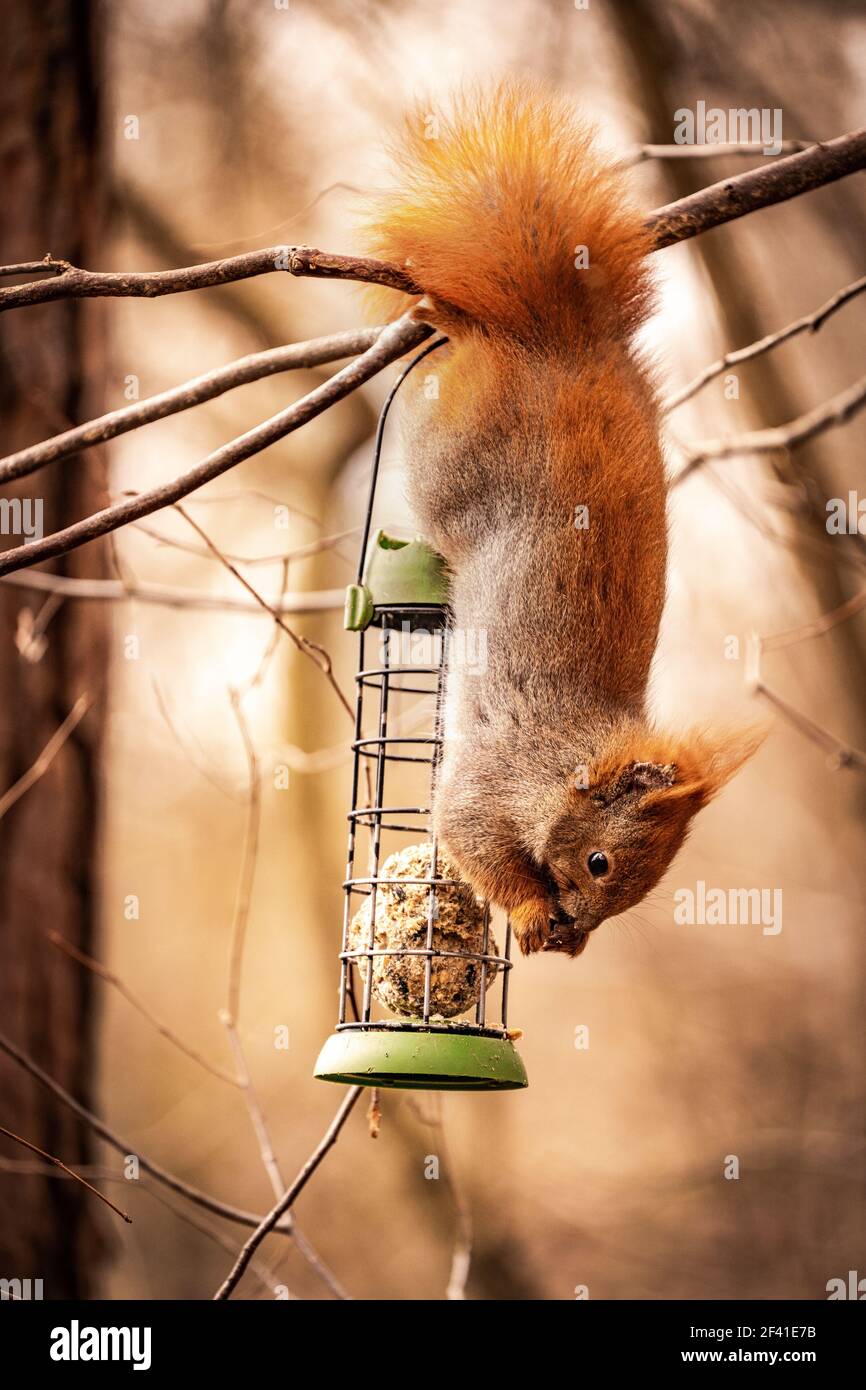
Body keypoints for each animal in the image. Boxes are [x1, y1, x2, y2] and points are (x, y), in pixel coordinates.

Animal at [364, 82, 765, 959]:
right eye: (600, 861)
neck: (565, 763)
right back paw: (448, 314)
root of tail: (563, 339)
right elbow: (471, 835)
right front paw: (526, 910)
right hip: (451, 462)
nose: (577, 936)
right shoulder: (492, 783)